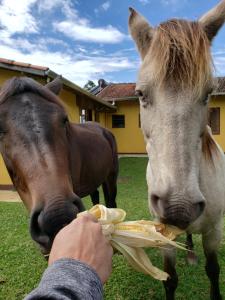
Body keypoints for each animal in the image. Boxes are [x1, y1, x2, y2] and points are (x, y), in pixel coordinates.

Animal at [128, 1, 225, 298]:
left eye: (208, 94)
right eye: (140, 94)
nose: (178, 208)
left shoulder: (214, 232)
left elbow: (213, 270)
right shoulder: (163, 233)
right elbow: (170, 279)